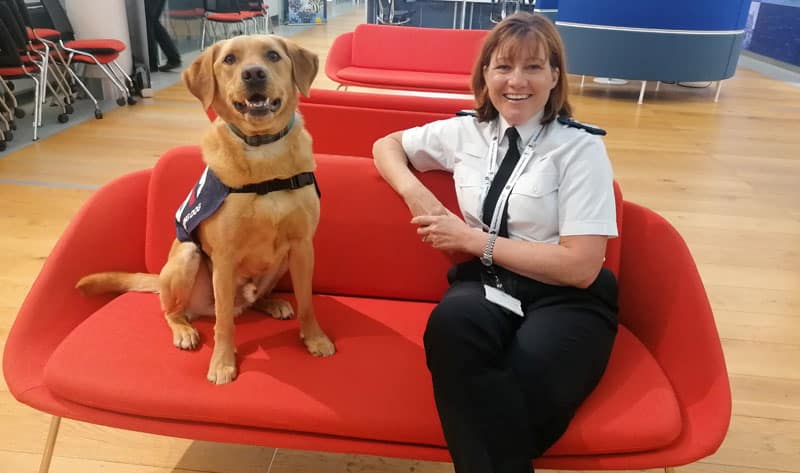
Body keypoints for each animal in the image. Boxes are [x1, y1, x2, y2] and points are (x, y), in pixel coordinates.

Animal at [78, 36, 334, 384]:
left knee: (250, 300)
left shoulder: (302, 247)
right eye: (229, 59)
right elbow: (224, 323)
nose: (254, 74)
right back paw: (183, 330)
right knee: (176, 311)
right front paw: (223, 363)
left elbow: (307, 302)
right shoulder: (224, 259)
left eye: (272, 55)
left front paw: (315, 339)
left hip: (280, 262)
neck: (264, 155)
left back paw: (271, 303)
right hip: (188, 257)